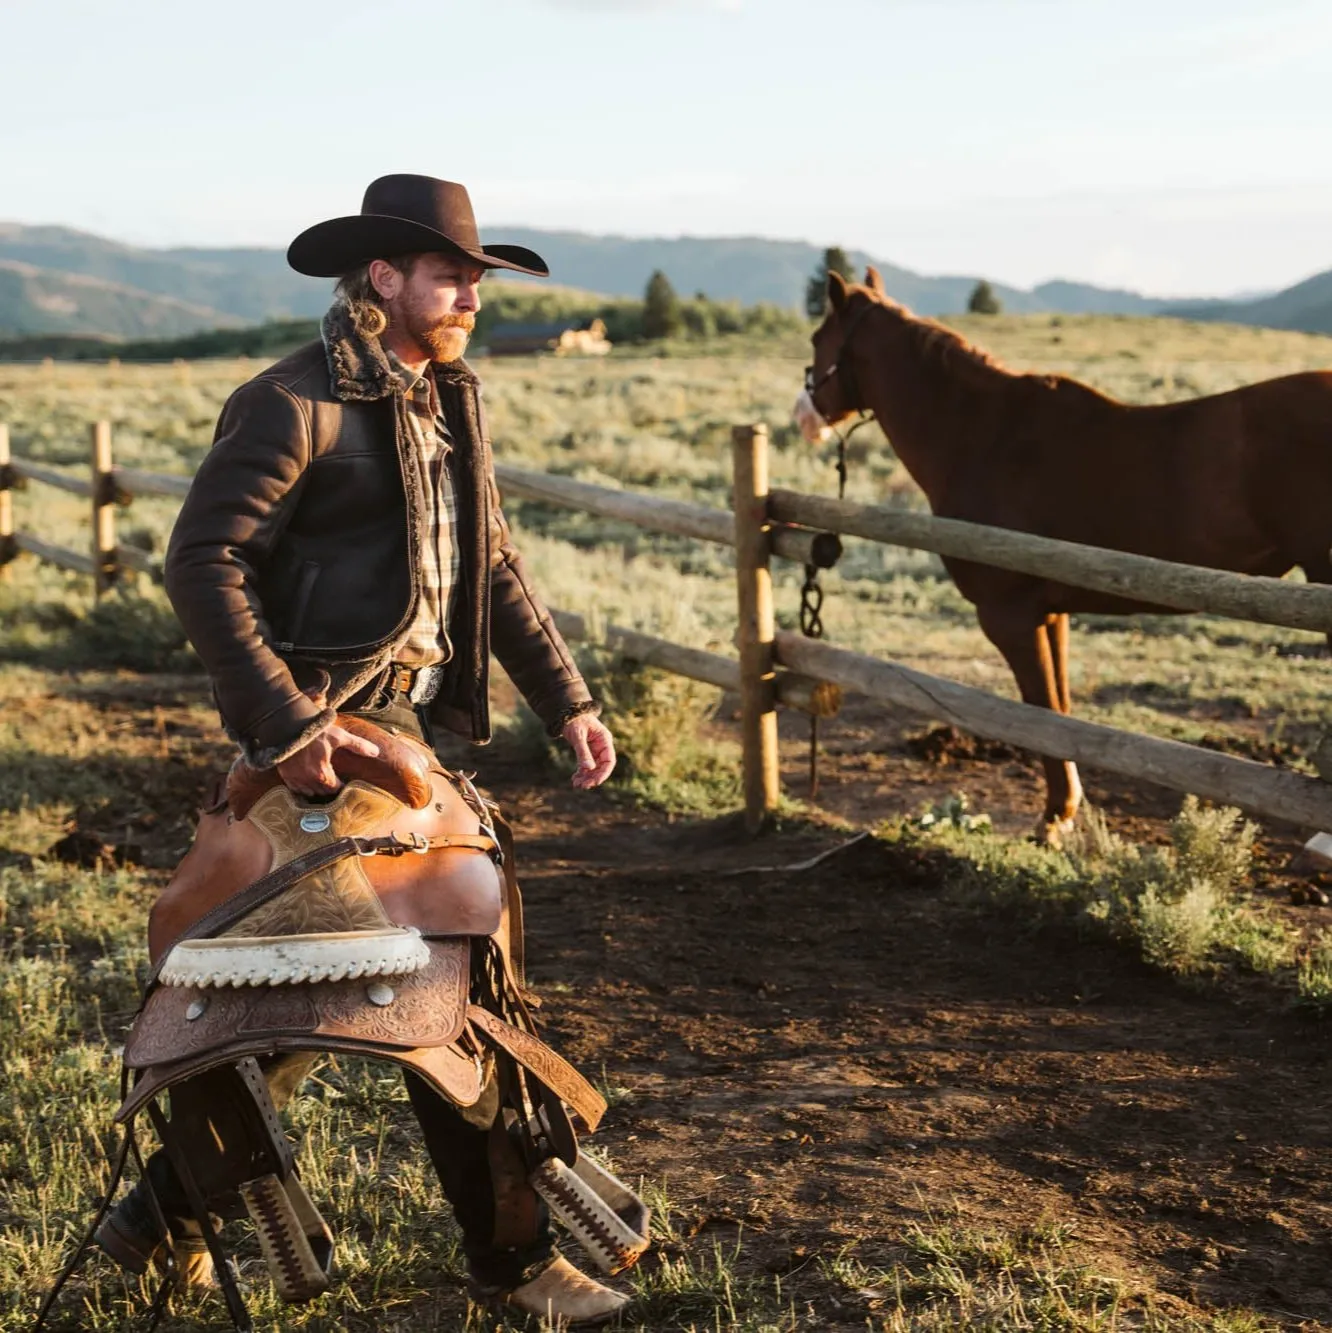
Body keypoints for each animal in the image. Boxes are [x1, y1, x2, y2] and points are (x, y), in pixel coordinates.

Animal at [794, 265, 1328, 837]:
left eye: (817, 339)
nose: (803, 415)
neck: (982, 437)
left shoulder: (1008, 615)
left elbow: (1041, 710)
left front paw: (1054, 818)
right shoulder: (1050, 613)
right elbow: (1059, 712)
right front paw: (1067, 810)